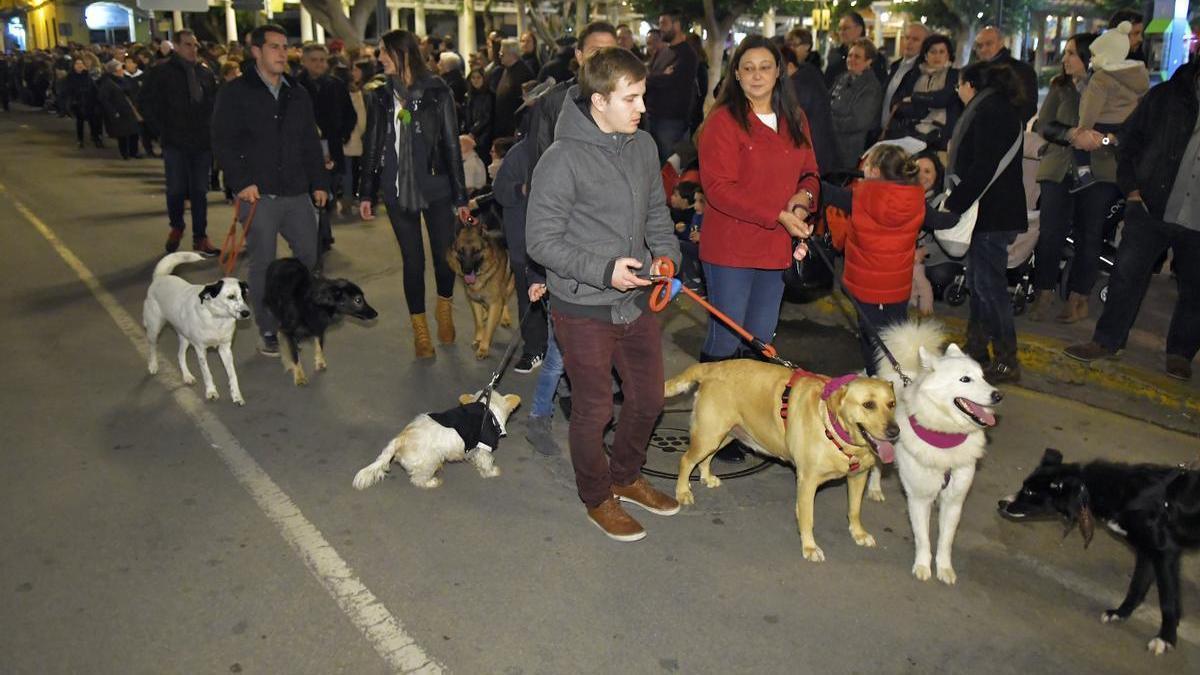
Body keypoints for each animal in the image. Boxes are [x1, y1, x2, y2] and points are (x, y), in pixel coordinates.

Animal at [264, 255, 376, 386]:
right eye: (358, 300)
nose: (375, 313)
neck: (314, 303)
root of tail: (282, 259)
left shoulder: (319, 326)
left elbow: (319, 344)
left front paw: (320, 362)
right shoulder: (286, 330)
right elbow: (294, 355)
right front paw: (299, 375)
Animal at [348, 389, 516, 487]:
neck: (487, 407)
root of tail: (400, 439)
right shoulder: (484, 446)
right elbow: (486, 462)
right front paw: (492, 472)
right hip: (430, 461)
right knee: (418, 480)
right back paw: (432, 482)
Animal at [446, 220, 511, 360]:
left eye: (476, 251)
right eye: (460, 251)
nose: (466, 270)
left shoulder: (495, 302)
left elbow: (489, 327)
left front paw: (483, 348)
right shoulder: (474, 301)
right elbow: (479, 323)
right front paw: (478, 339)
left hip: (509, 285)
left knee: (505, 301)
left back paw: (504, 317)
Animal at [667, 360, 902, 559]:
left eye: (892, 404)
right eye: (868, 405)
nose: (895, 431)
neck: (833, 427)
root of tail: (711, 366)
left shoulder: (858, 476)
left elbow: (854, 510)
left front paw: (859, 534)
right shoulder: (807, 481)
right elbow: (807, 517)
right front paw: (809, 547)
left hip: (724, 435)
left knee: (706, 458)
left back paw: (707, 477)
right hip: (710, 434)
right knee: (686, 460)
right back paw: (683, 491)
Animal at [993, 449, 1200, 653]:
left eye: (1029, 491)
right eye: (1023, 485)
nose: (1001, 503)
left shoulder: (1164, 553)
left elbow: (1168, 600)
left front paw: (1166, 638)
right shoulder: (1145, 552)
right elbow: (1136, 587)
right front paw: (1120, 613)